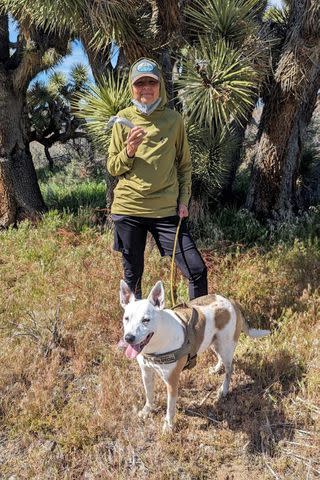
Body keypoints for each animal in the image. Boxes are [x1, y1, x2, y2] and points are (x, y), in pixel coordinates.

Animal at [119, 278, 268, 432]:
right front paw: (147, 410)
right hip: (213, 343)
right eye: (126, 318)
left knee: (229, 369)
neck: (156, 343)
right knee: (220, 358)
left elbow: (170, 407)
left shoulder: (172, 381)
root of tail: (231, 301)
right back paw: (216, 369)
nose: (128, 338)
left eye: (146, 320)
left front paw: (169, 425)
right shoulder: (146, 373)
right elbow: (149, 395)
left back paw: (224, 389)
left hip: (226, 347)